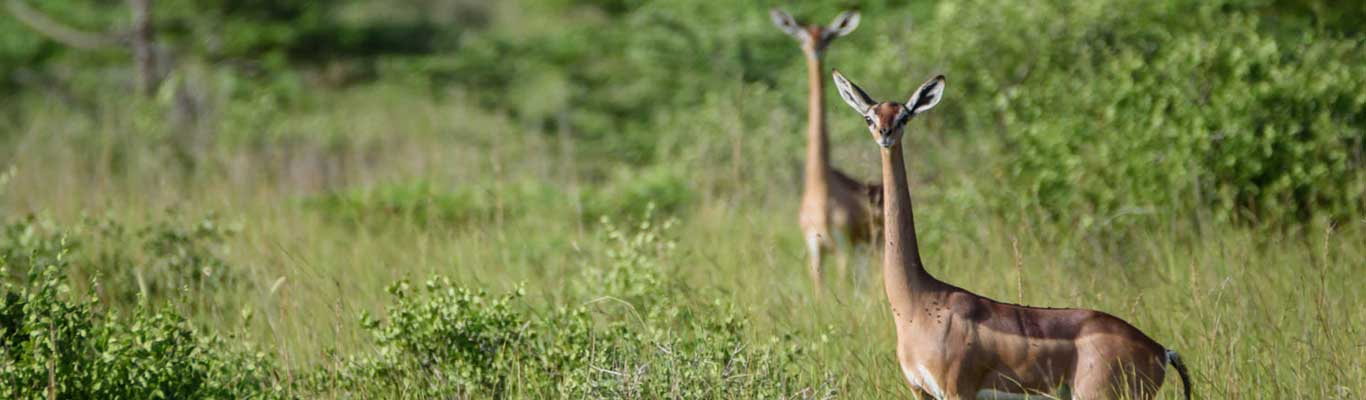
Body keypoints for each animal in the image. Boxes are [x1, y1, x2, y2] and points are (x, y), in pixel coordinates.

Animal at [825, 69, 1191, 398]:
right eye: (870, 116)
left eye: (904, 115)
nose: (885, 133)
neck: (917, 302)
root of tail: (1161, 350)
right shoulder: (921, 392)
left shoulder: (957, 392)